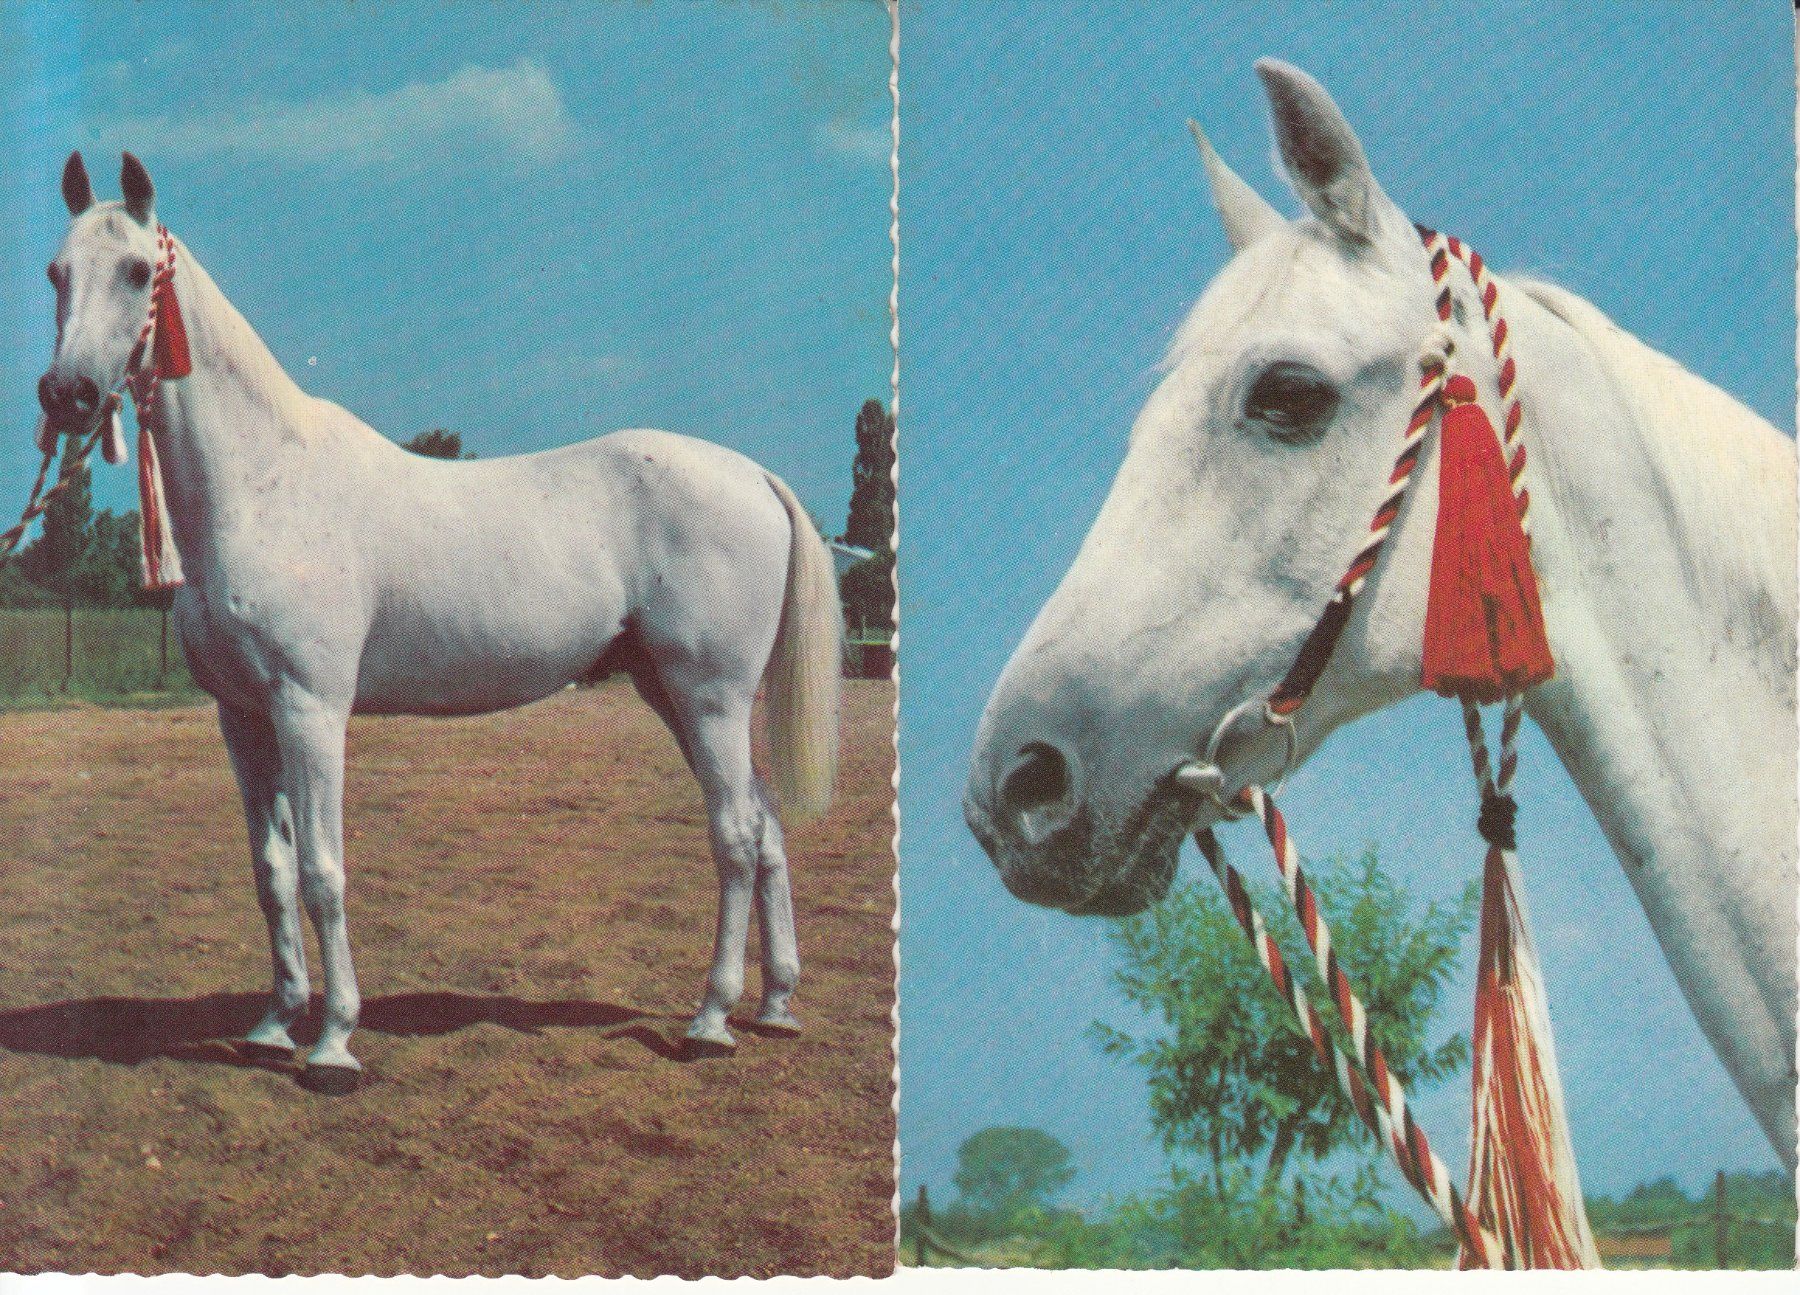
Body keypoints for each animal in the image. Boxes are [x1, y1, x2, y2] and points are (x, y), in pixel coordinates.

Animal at [35, 152, 842, 1093]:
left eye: (135, 271)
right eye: (56, 272)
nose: (68, 394)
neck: (266, 483)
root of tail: (754, 476)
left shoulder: (311, 710)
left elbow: (322, 873)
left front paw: (334, 1044)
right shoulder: (243, 719)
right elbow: (271, 875)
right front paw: (273, 1025)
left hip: (709, 697)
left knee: (737, 839)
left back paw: (710, 1020)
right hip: (676, 696)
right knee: (769, 827)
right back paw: (775, 1005)